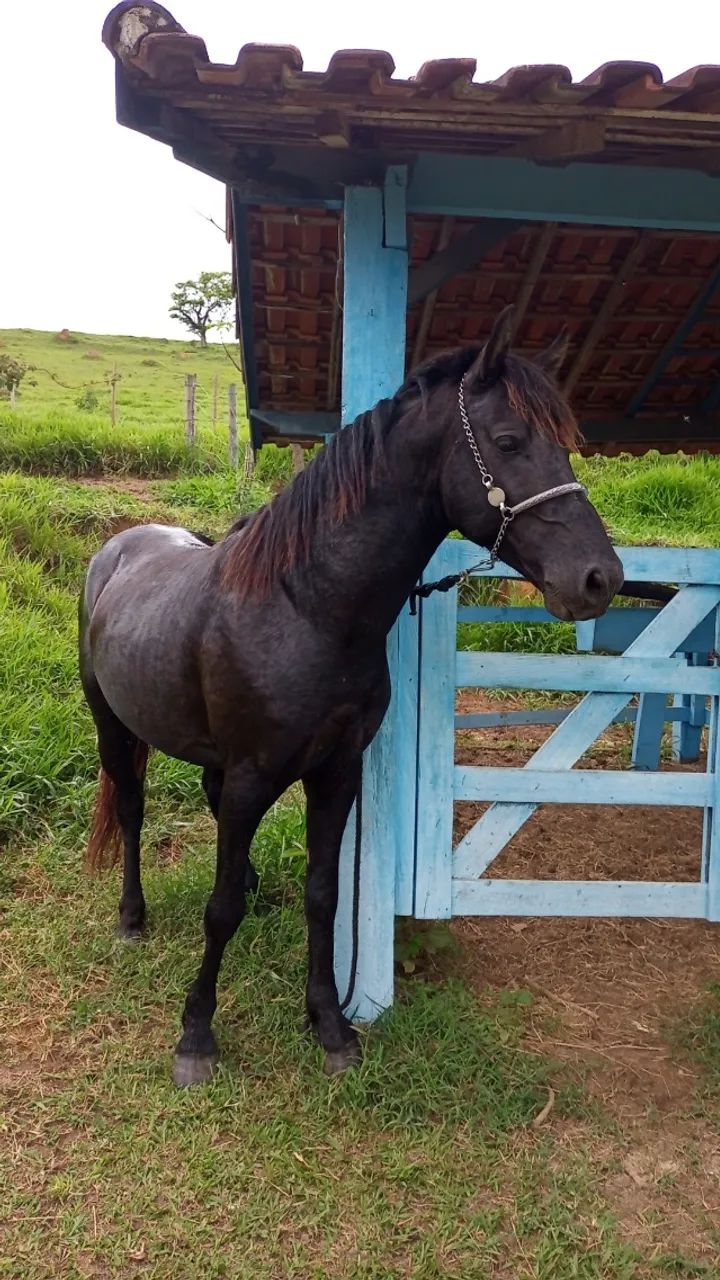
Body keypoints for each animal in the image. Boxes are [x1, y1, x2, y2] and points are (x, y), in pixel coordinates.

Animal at [79, 307, 624, 1087]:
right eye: (510, 441)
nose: (600, 578)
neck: (306, 606)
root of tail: (117, 548)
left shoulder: (338, 771)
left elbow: (324, 894)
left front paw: (331, 1026)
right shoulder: (254, 777)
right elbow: (218, 909)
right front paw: (196, 1037)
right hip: (112, 725)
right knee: (130, 807)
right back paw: (131, 918)